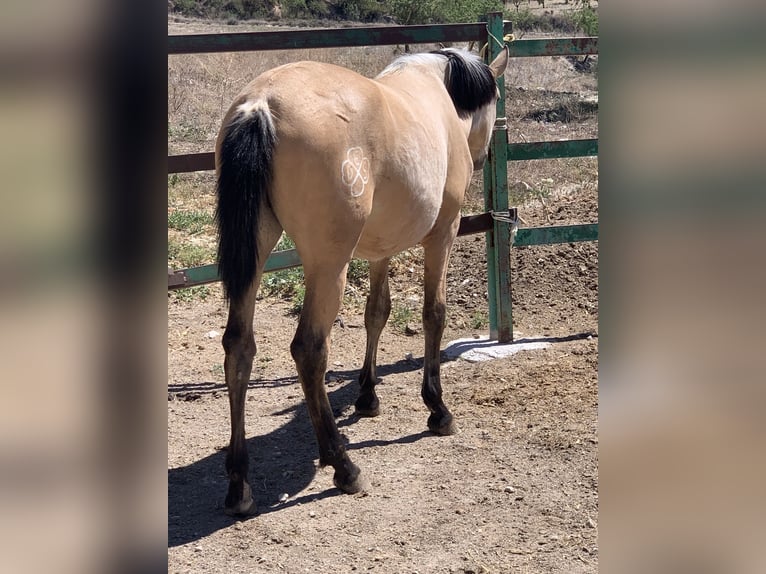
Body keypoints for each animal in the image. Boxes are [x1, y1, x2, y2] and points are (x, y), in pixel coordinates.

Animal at [216, 46, 510, 516]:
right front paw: (437, 408)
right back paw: (343, 465)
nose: (481, 156)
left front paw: (368, 396)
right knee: (309, 350)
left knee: (239, 347)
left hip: (256, 251)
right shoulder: (443, 234)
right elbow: (434, 314)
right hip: (327, 265)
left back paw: (240, 484)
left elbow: (377, 313)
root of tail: (260, 105)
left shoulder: (379, 249)